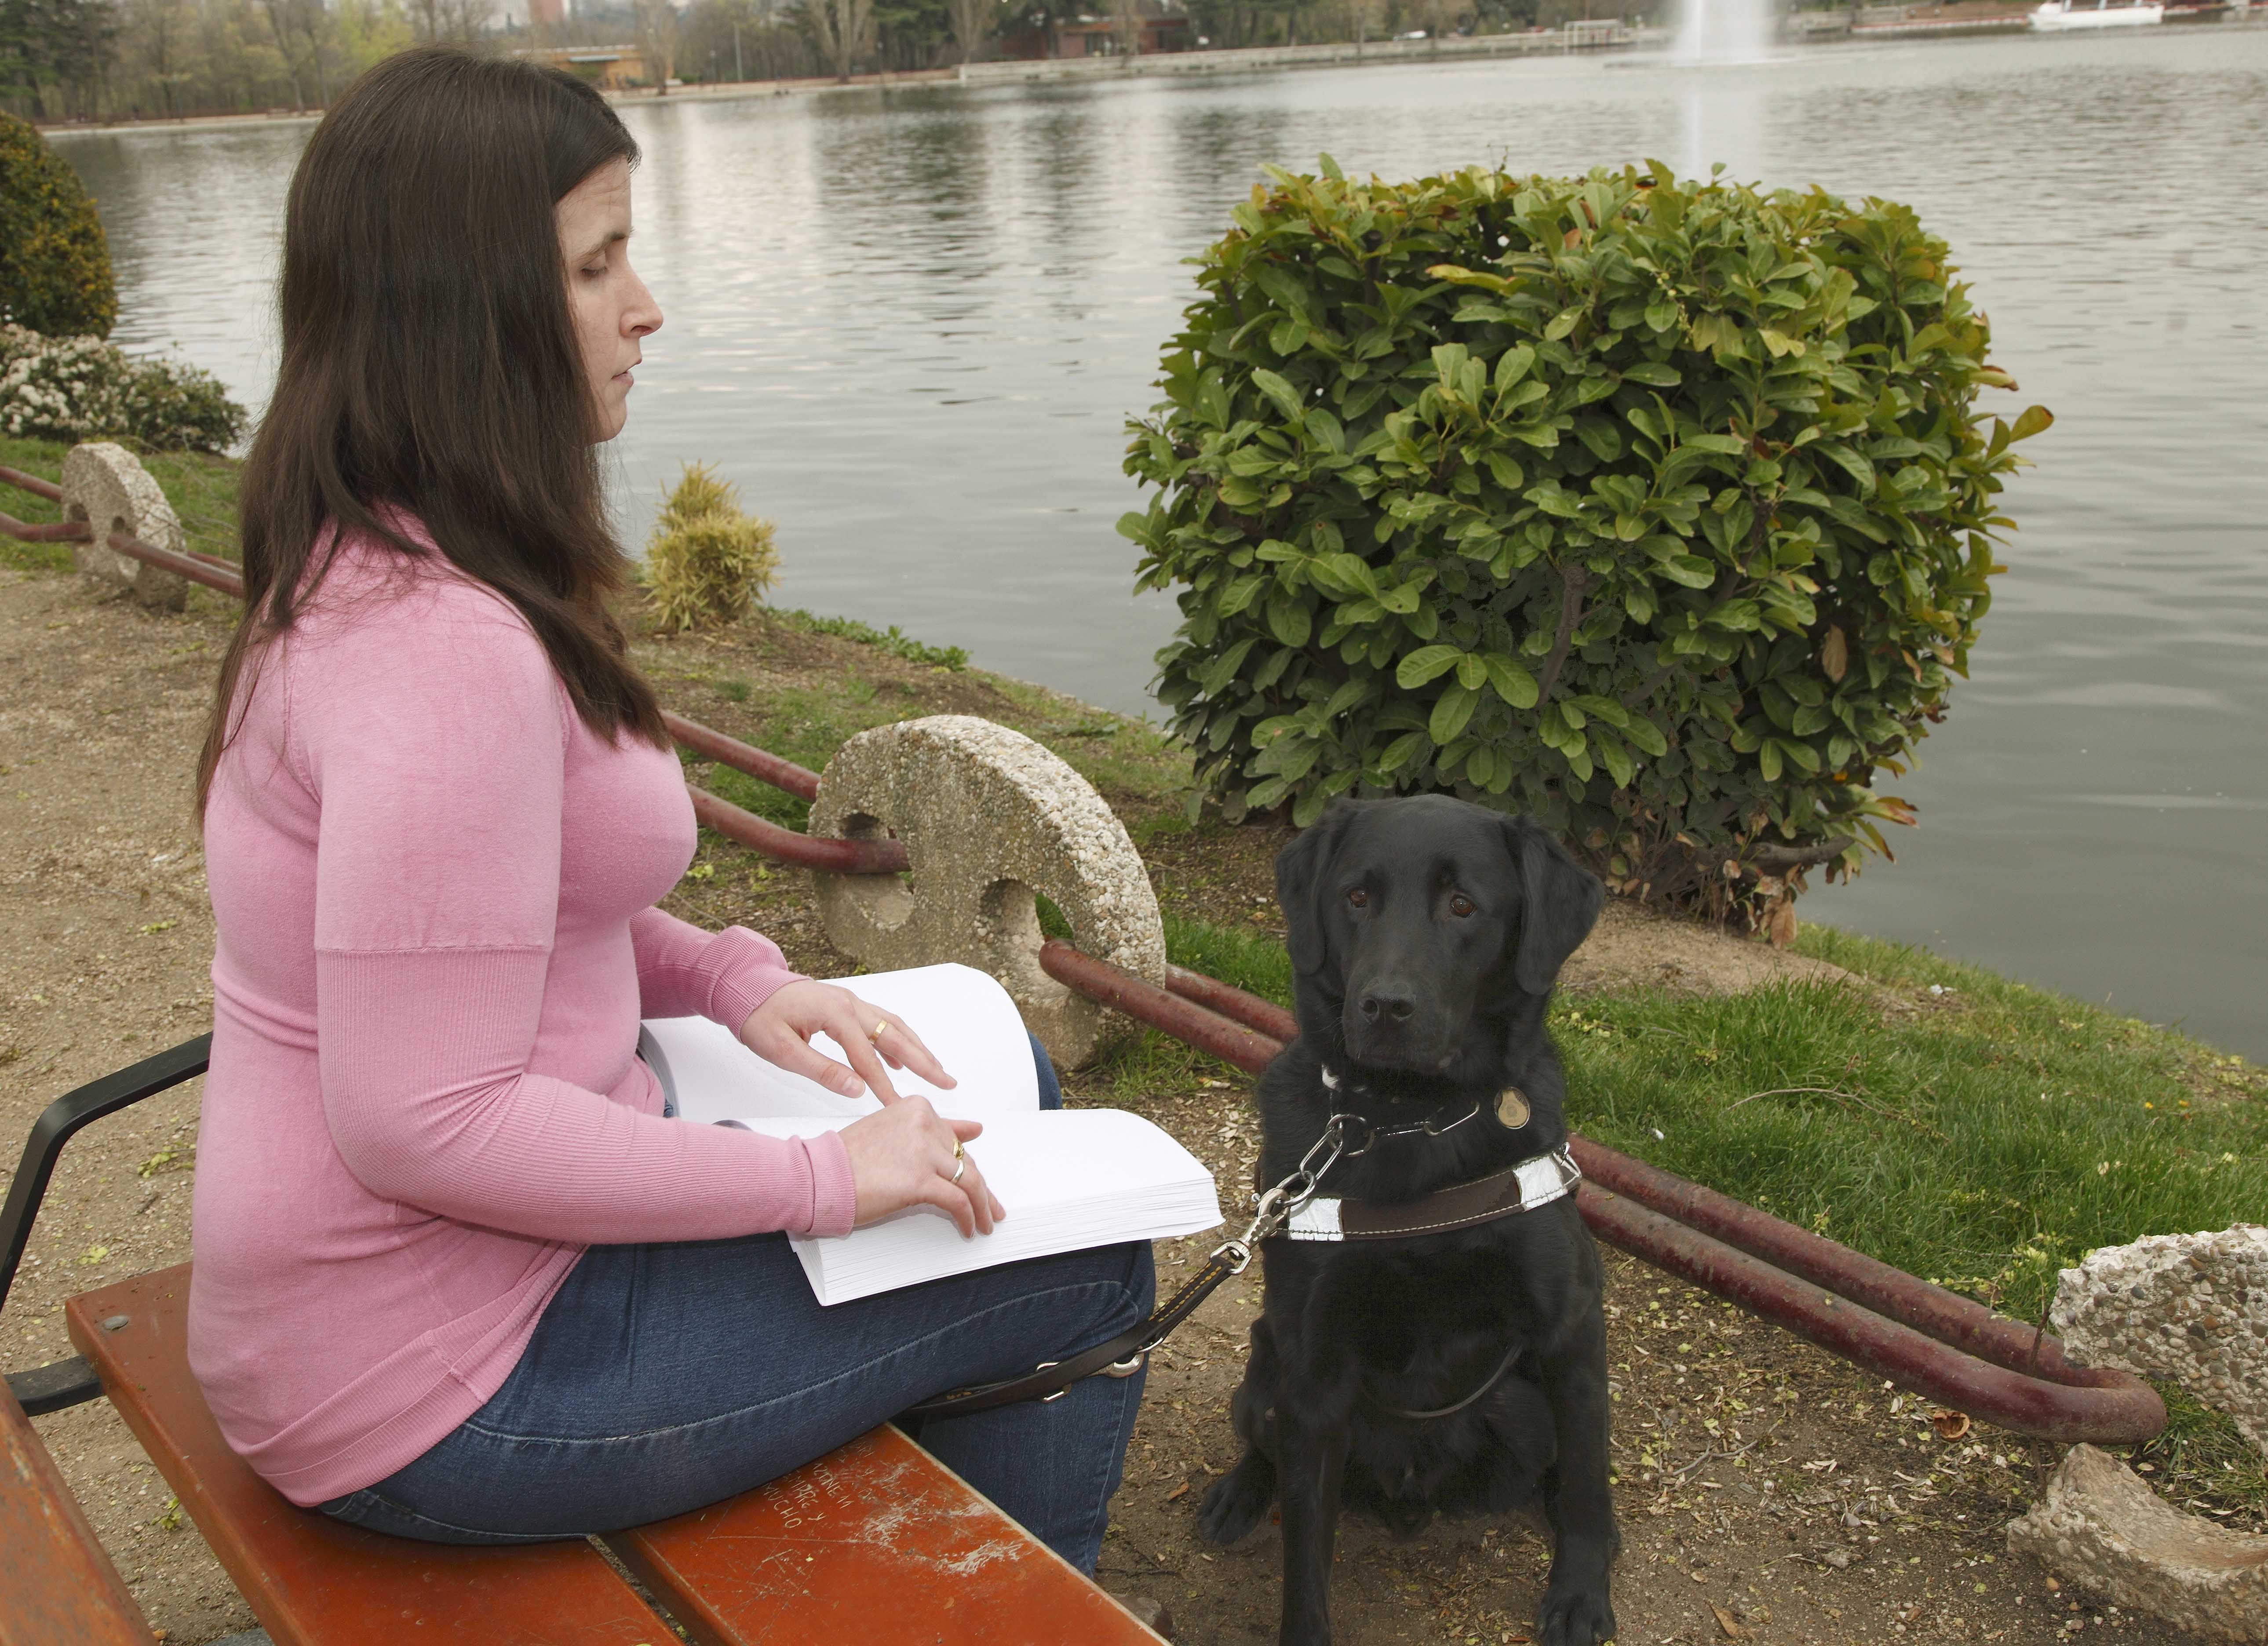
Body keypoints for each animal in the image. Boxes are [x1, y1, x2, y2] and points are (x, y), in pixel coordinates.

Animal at [1197, 793, 1624, 1641]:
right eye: (1356, 896)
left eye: (1463, 905)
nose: (1385, 1005)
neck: (1408, 1122)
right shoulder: (1314, 1370)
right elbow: (1305, 1561)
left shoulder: (1570, 1323)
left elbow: (1590, 1478)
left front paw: (1580, 1592)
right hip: (1263, 1374)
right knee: (1262, 1442)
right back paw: (1238, 1492)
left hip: (1528, 1404)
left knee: (1571, 1458)